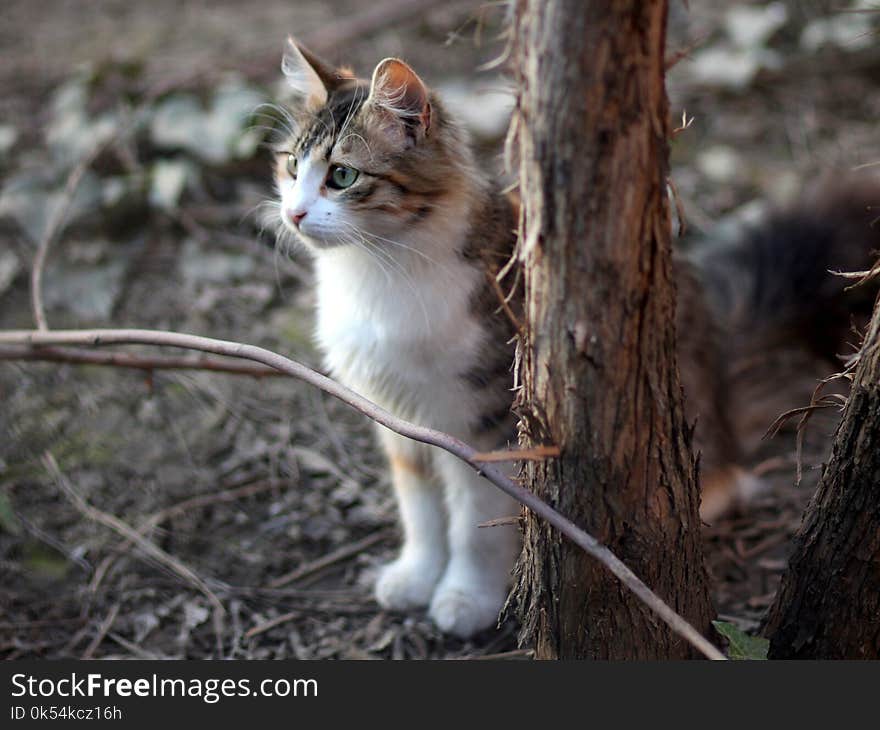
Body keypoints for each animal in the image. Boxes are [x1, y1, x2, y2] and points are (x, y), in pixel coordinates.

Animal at [270, 37, 880, 636]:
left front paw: (466, 598)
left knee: (726, 481)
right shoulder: (398, 420)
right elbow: (420, 512)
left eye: (342, 176)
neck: (373, 273)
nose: (293, 214)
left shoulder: (486, 422)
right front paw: (417, 576)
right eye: (292, 166)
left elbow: (472, 524)